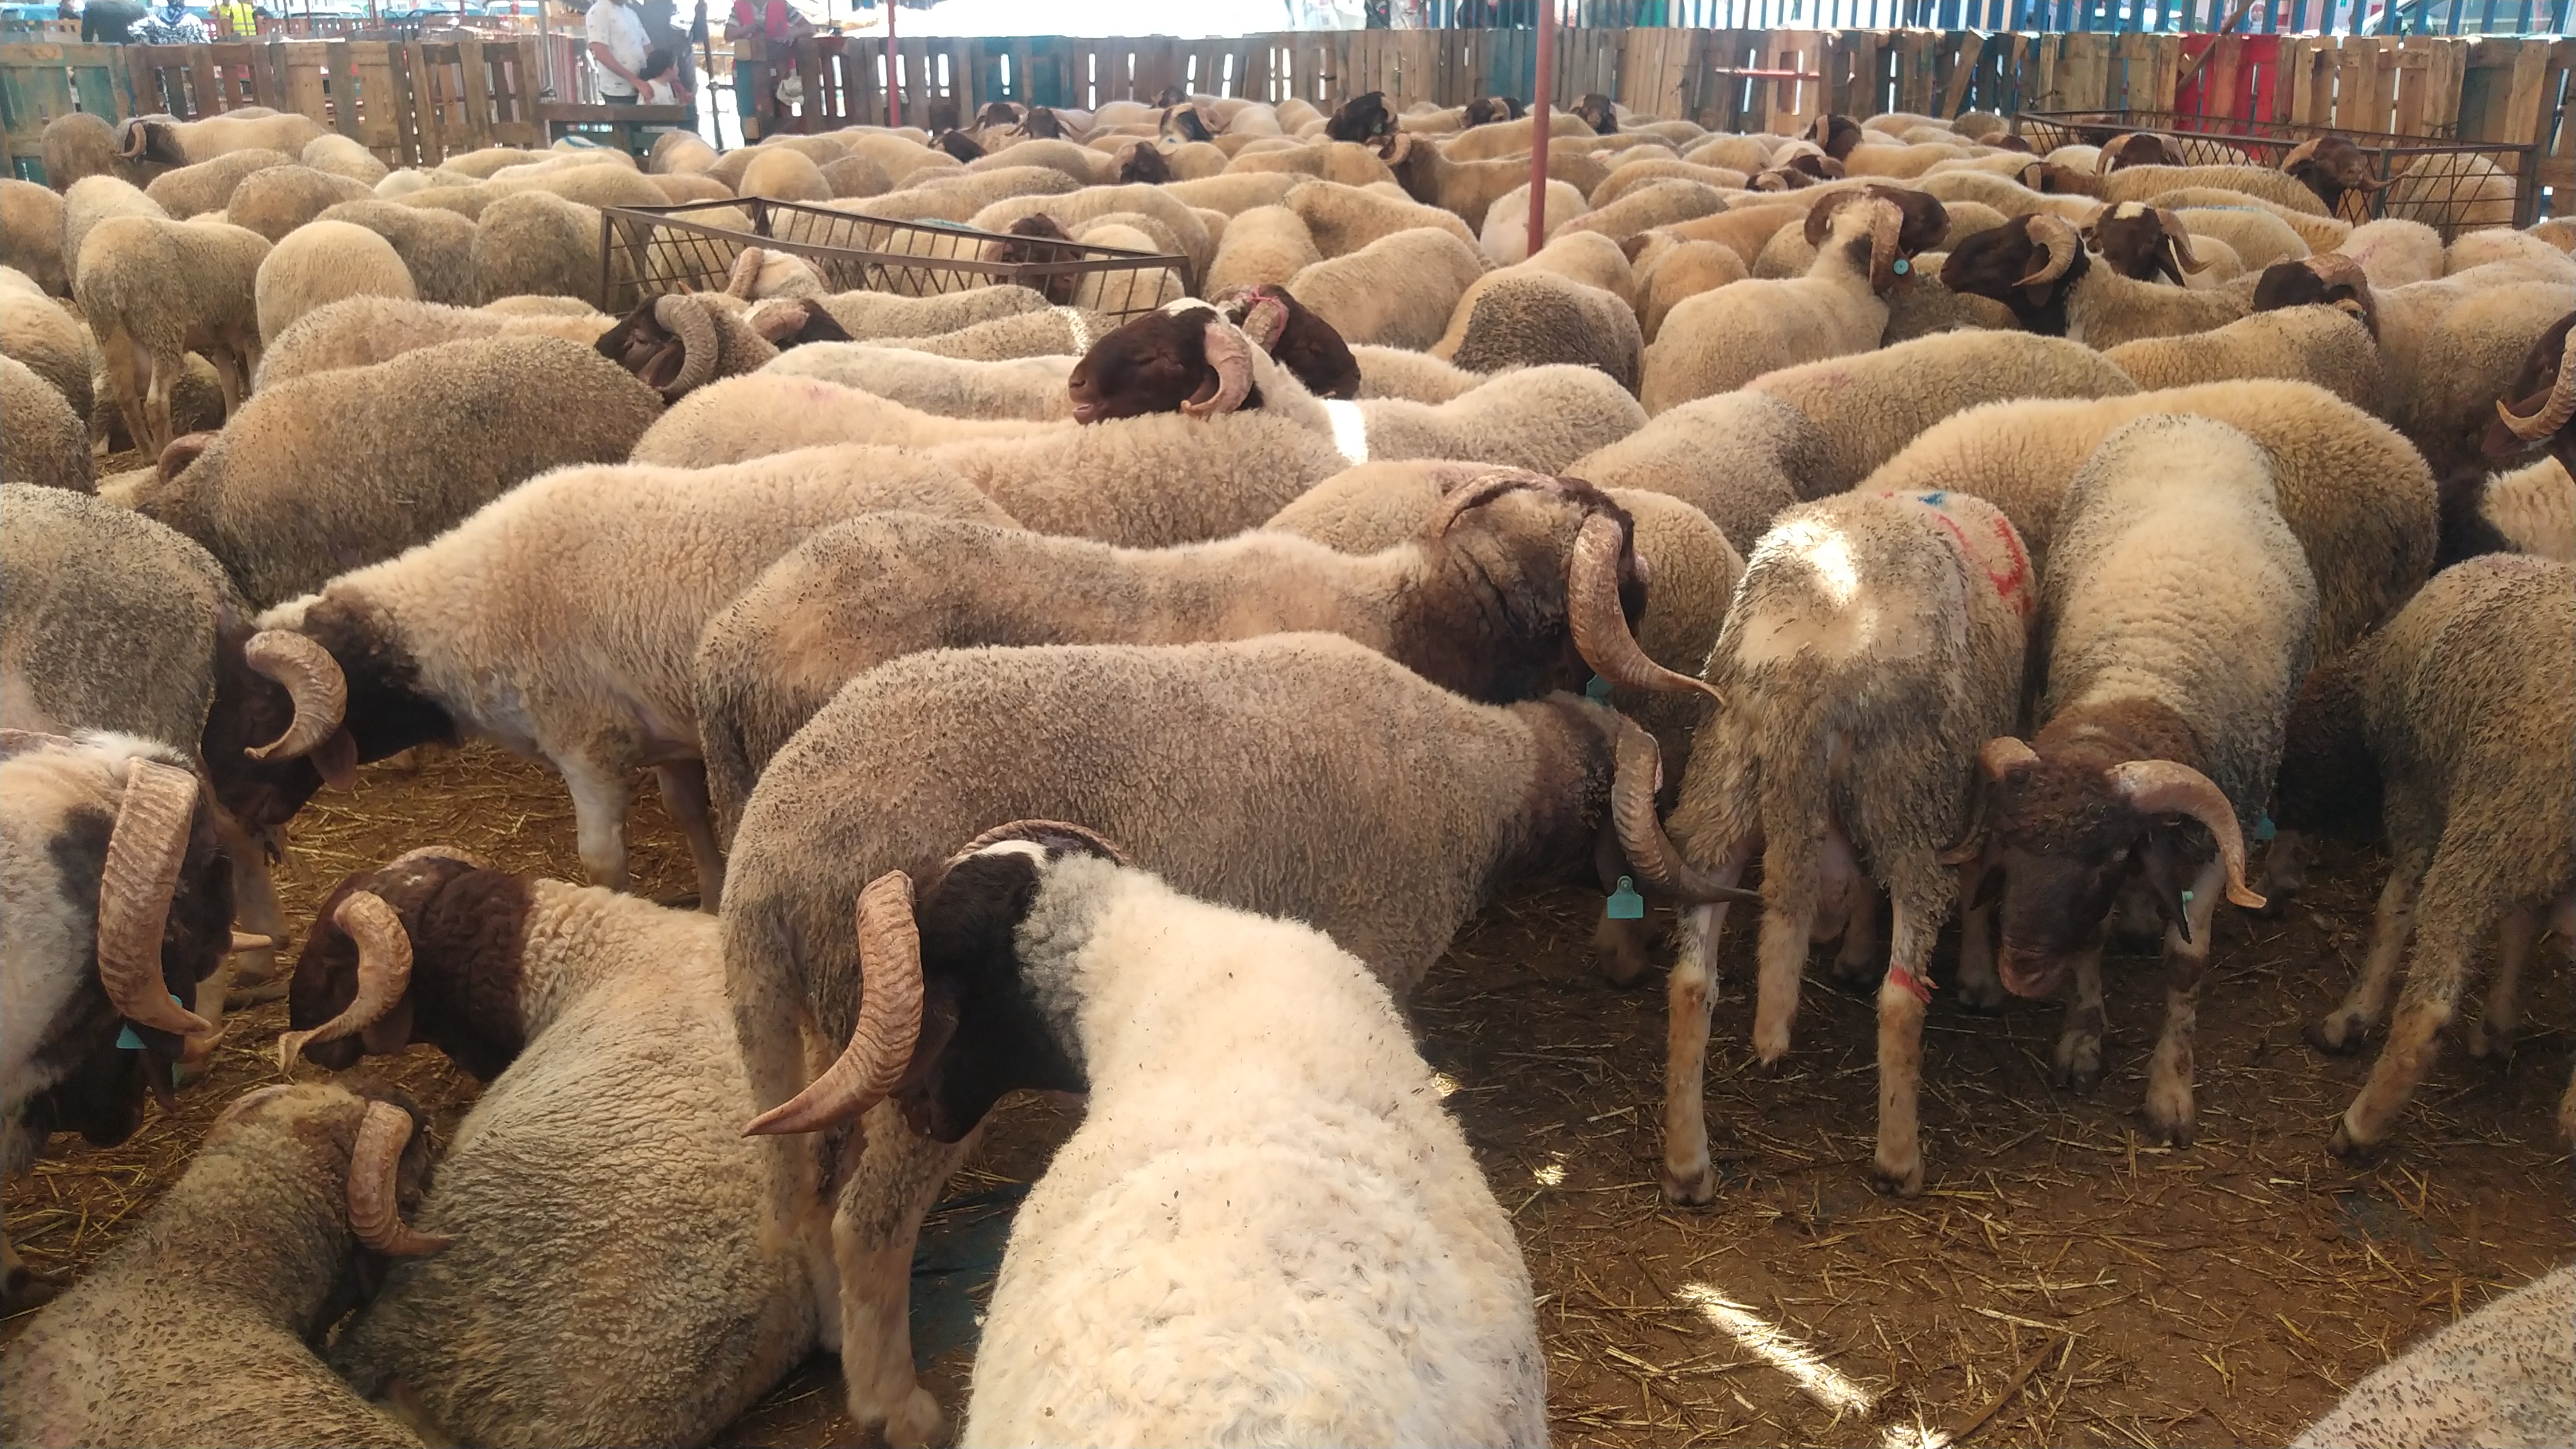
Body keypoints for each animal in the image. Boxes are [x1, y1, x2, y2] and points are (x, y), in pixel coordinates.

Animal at [73, 214, 268, 454]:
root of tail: (102, 268)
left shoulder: (219, 340)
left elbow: (229, 382)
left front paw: (232, 419)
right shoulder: (250, 332)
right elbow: (249, 375)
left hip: (109, 330)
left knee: (125, 394)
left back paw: (148, 451)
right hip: (160, 326)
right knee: (156, 401)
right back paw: (165, 446)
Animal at [234, 453, 1007, 903]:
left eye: (267, 712)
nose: (250, 815)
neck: (469, 606)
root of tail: (989, 513)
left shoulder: (587, 741)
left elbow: (601, 861)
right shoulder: (668, 730)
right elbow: (689, 816)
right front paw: (709, 898)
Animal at [1649, 485, 2034, 1199]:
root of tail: (1807, 663)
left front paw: (1853, 949)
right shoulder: (1963, 773)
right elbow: (1972, 877)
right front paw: (1975, 973)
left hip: (1726, 774)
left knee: (1690, 980)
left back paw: (1688, 1165)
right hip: (1907, 781)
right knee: (1903, 995)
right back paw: (1899, 1160)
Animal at [1948, 416, 2312, 1141]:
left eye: (2108, 859)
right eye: (2008, 848)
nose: (2021, 970)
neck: (2143, 680)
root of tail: (2193, 420)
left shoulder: (2215, 838)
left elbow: (2186, 964)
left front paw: (2170, 1091)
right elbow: (2089, 947)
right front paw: (2081, 1044)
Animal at [2265, 555, 2575, 1159]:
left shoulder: (2427, 799)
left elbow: (2394, 911)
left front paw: (2353, 1016)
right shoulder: (2525, 835)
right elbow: (2521, 926)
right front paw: (2497, 1027)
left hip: (2481, 829)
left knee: (2427, 1009)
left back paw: (2361, 1124)